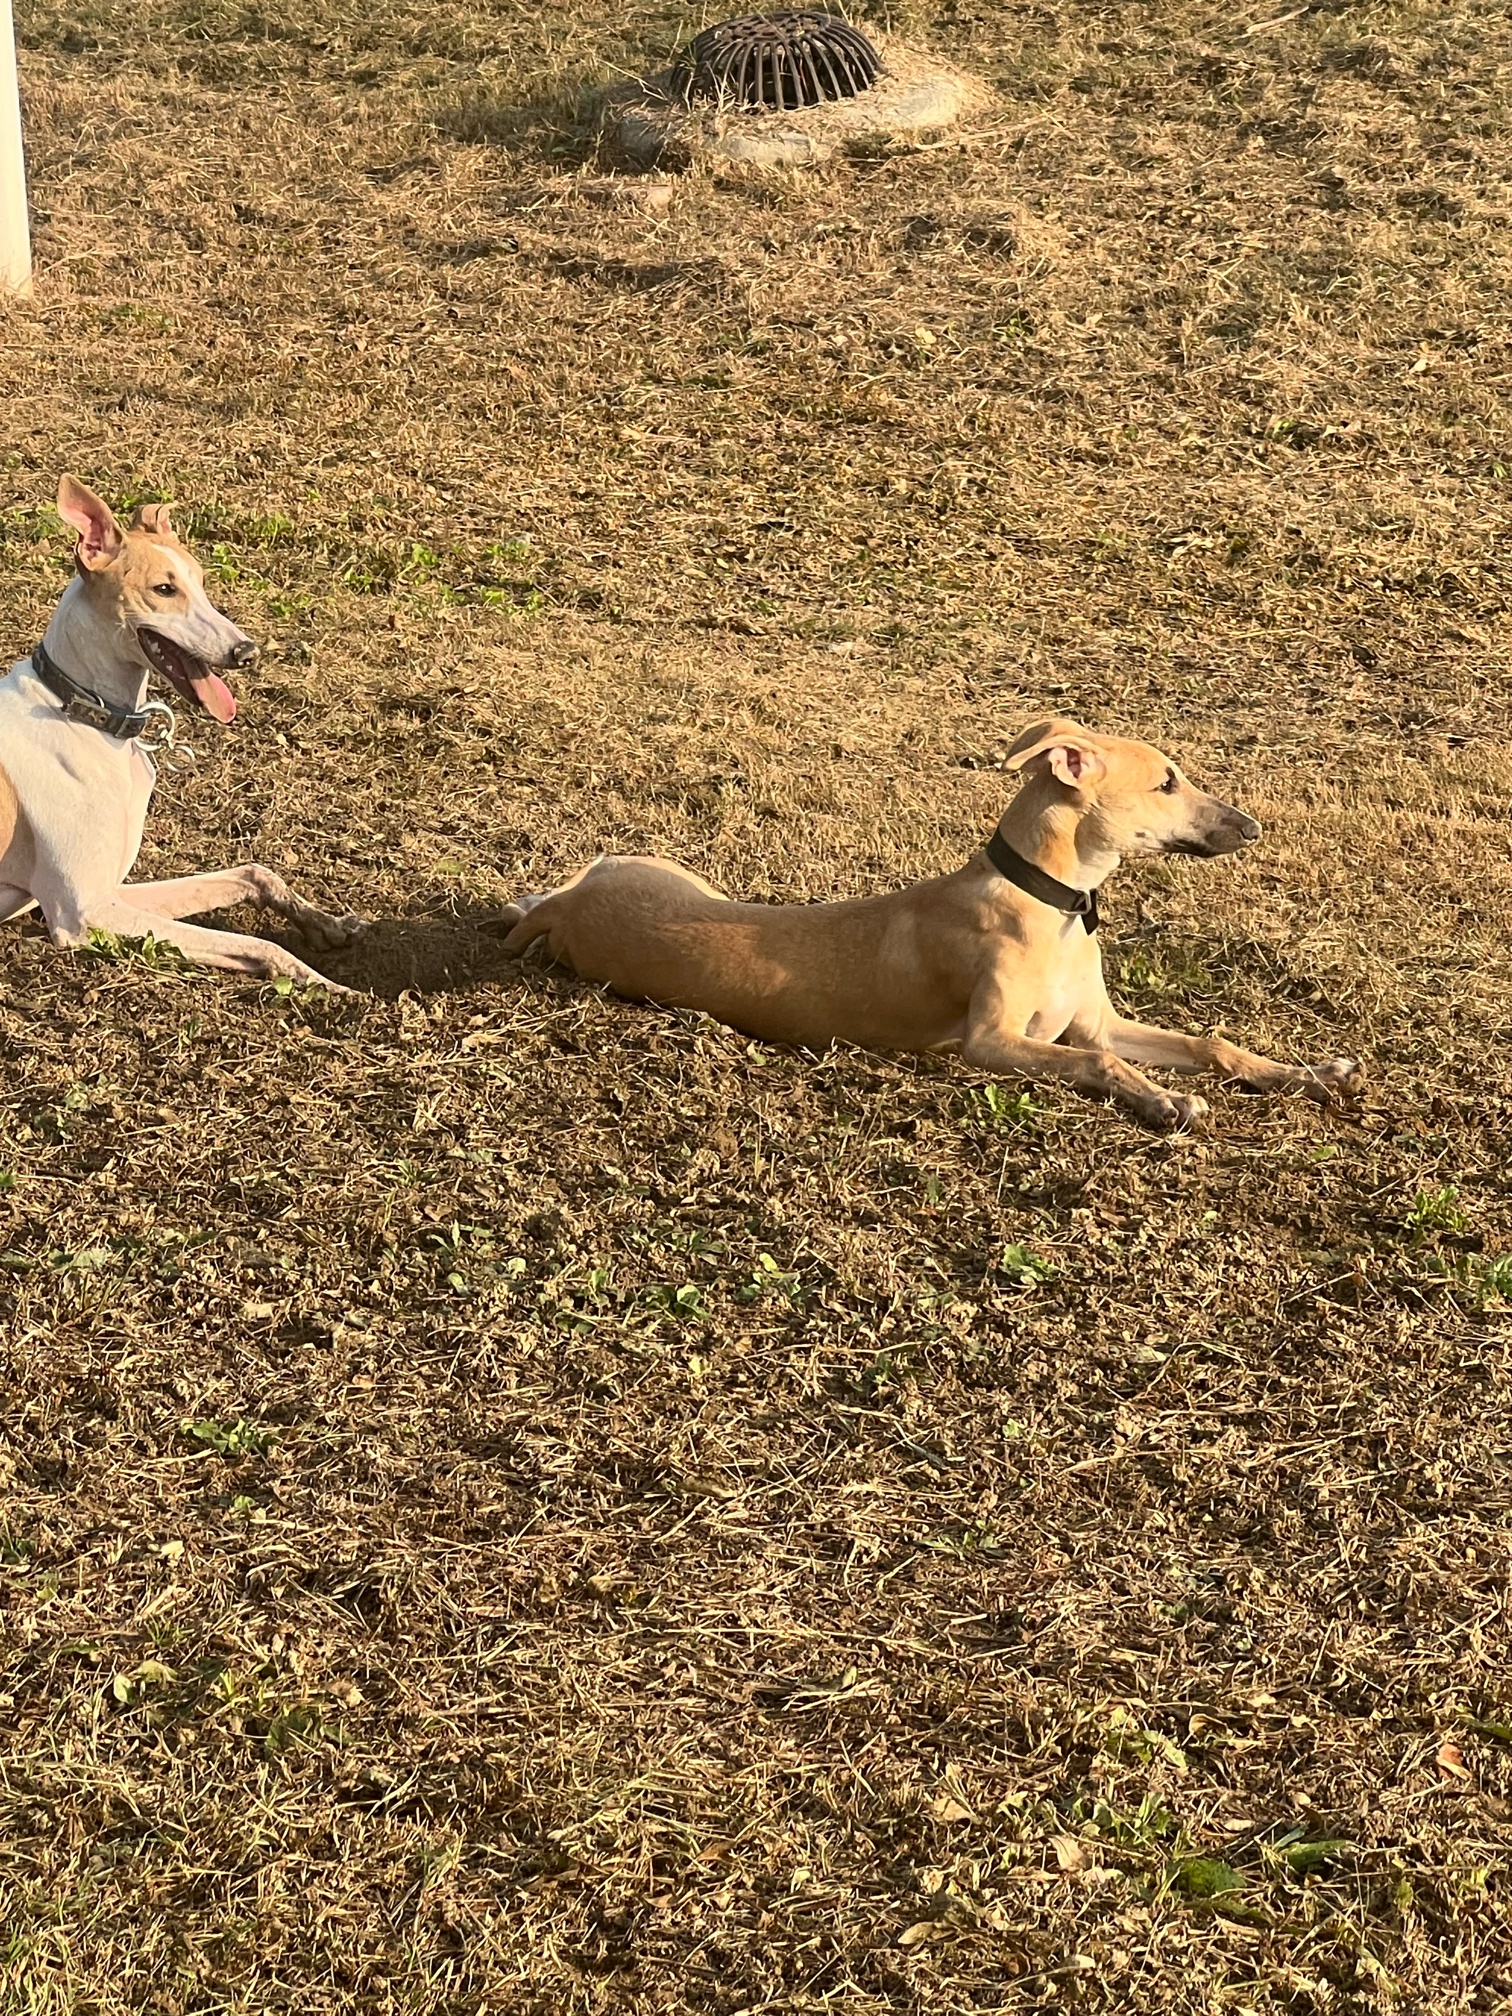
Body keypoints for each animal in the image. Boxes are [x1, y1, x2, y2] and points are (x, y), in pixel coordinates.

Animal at [0, 477, 359, 987]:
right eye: (164, 589)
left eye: (202, 583)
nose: (246, 651)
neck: (81, 713)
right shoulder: (82, 913)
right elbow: (260, 943)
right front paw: (325, 985)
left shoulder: (112, 891)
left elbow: (253, 873)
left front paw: (327, 924)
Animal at [500, 718, 1363, 1130]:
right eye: (1167, 782)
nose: (1251, 827)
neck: (1049, 902)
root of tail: (569, 908)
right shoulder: (991, 1043)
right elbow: (1099, 1064)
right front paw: (1164, 1101)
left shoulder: (1097, 1022)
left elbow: (1208, 1044)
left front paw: (1309, 1073)